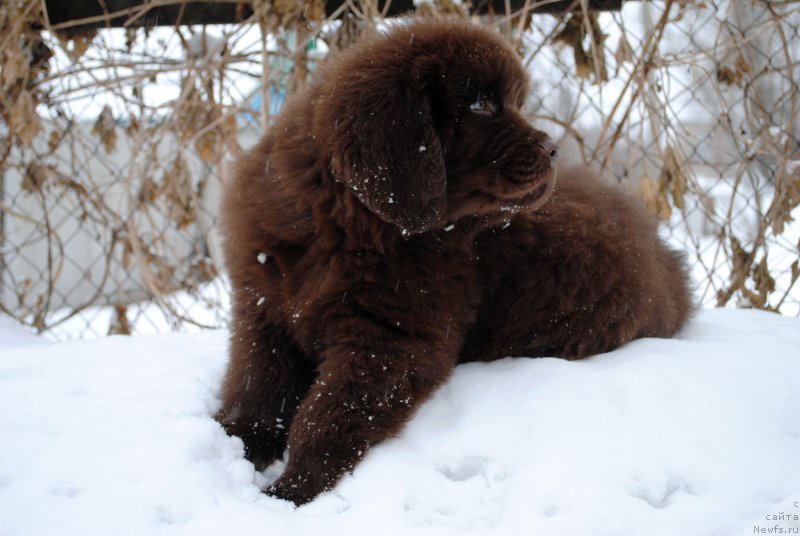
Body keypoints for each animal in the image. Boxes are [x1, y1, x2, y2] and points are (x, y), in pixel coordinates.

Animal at [216, 15, 692, 502]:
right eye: (480, 103)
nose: (553, 149)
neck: (346, 224)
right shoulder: (264, 310)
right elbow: (257, 391)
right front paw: (231, 446)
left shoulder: (389, 342)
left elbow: (325, 415)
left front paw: (288, 492)